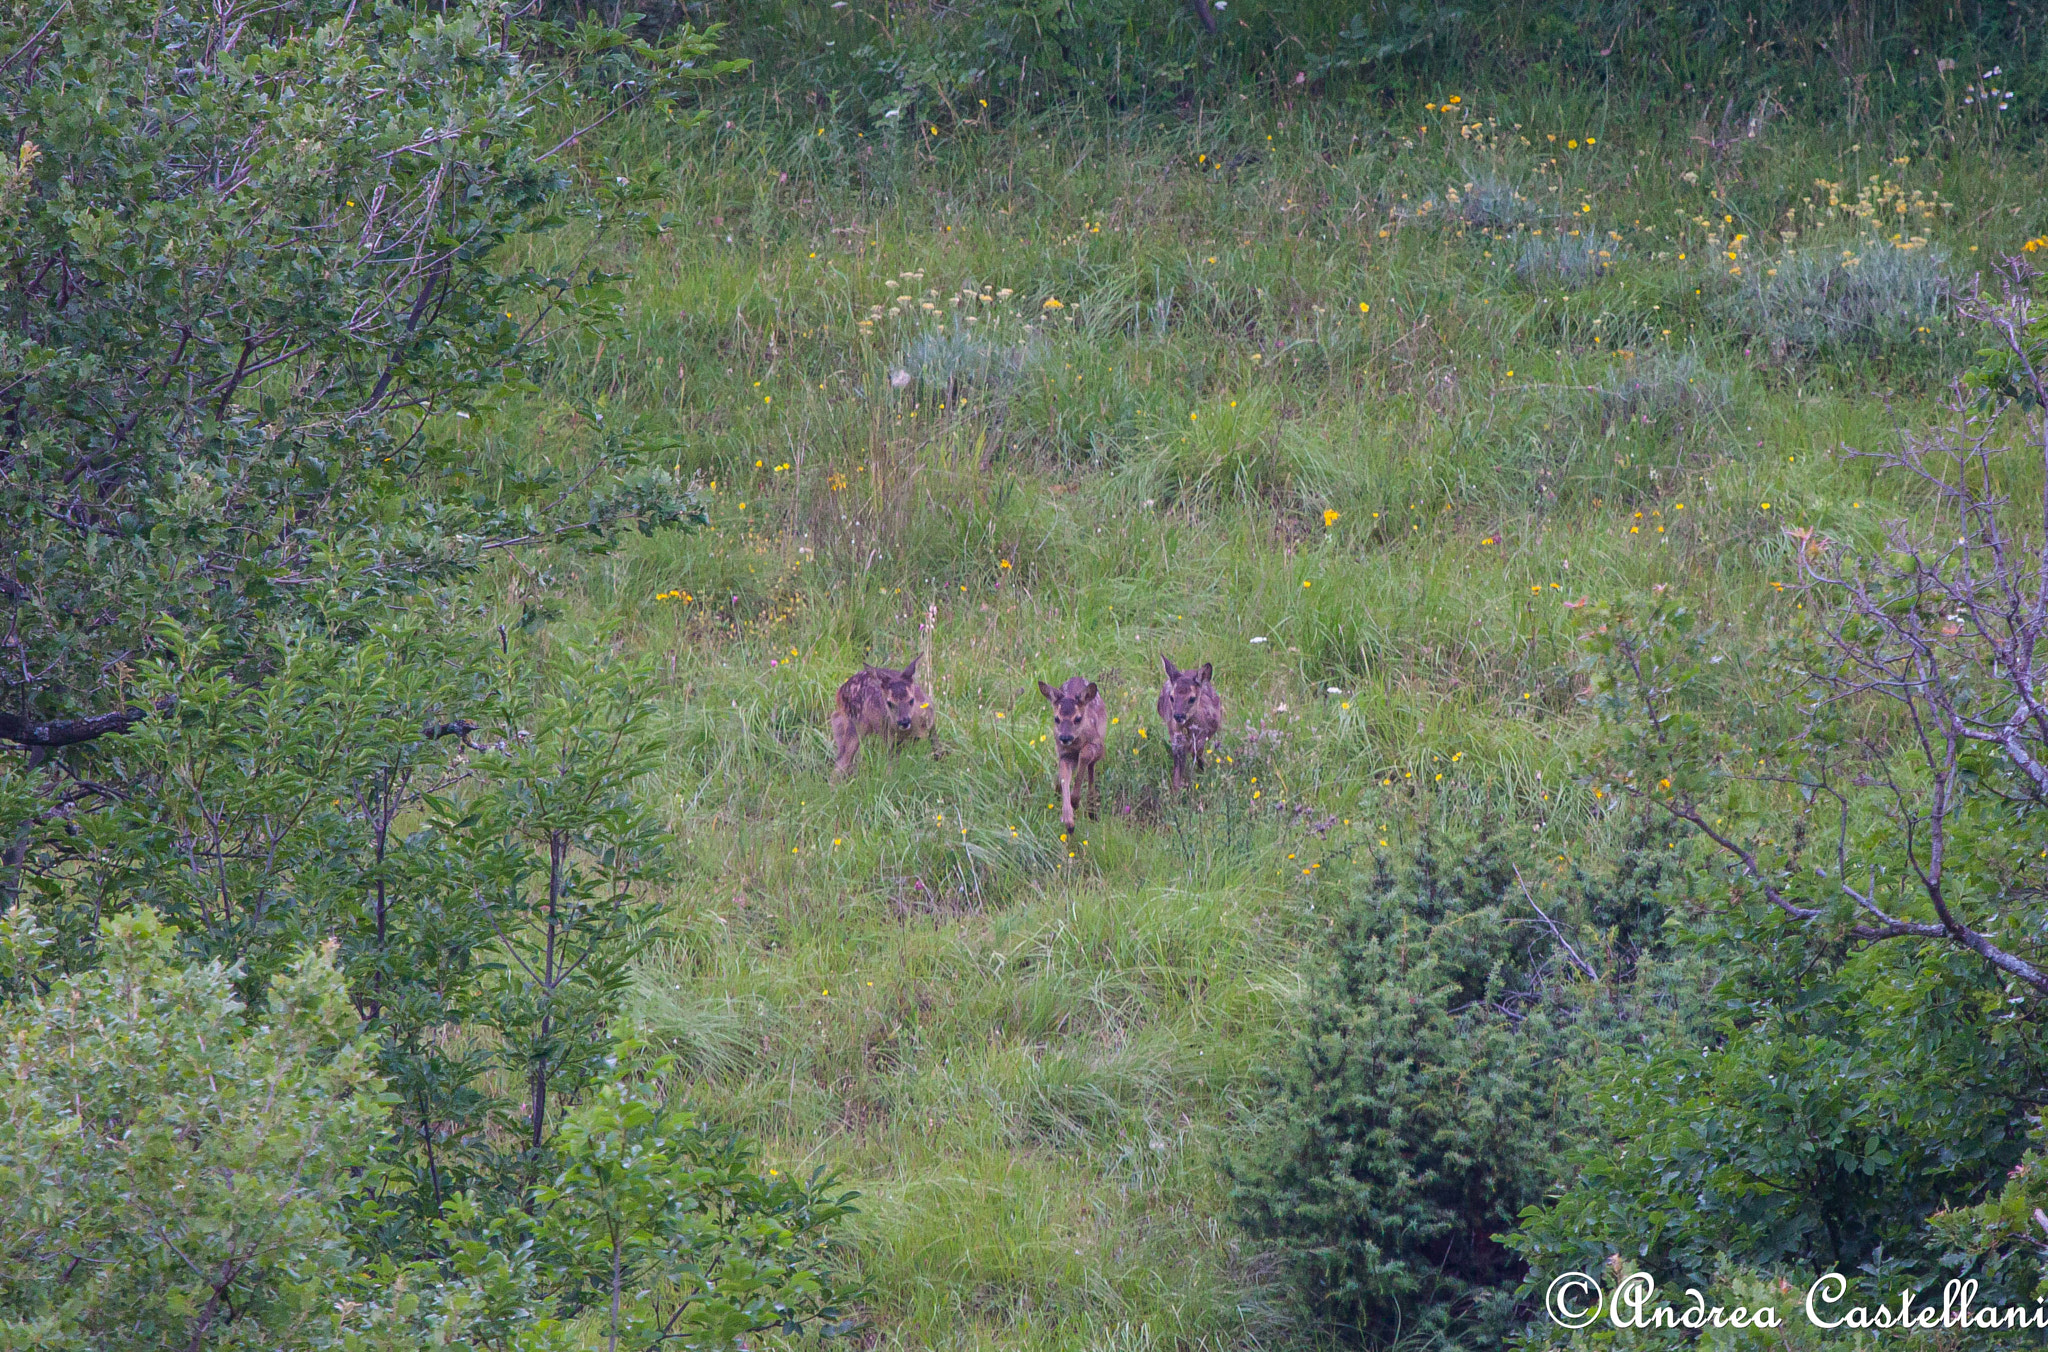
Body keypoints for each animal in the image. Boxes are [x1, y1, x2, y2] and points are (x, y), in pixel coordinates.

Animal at [1038, 676, 1107, 831]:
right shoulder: (1065, 754)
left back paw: (1091, 811)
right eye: (1056, 718)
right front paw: (1069, 821)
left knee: (1091, 769)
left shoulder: (1099, 746)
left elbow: (1086, 755)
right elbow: (1064, 776)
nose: (1065, 737)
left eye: (1078, 718)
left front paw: (1075, 801)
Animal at [1156, 657, 1221, 792]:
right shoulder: (1177, 741)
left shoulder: (1201, 738)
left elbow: (1198, 756)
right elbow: (1177, 773)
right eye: (1172, 697)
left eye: (1192, 698)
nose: (1178, 716)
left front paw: (1202, 774)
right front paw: (1176, 792)